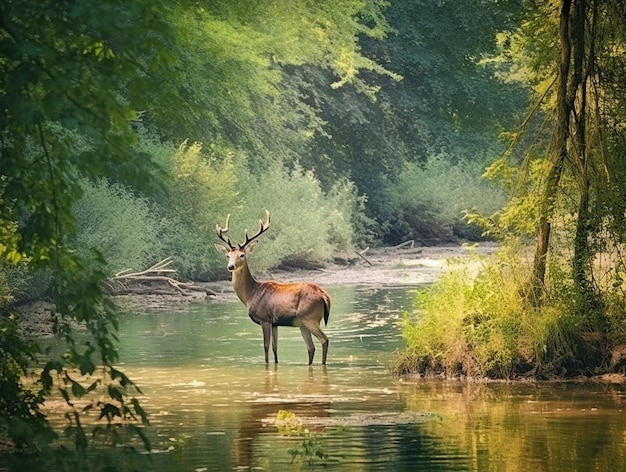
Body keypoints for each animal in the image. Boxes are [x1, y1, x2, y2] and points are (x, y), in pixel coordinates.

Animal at [213, 210, 332, 366]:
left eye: (242, 254)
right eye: (228, 255)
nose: (230, 266)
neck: (251, 294)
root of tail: (325, 296)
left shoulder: (265, 318)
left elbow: (266, 346)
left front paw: (266, 365)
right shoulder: (275, 323)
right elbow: (275, 348)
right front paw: (276, 364)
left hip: (309, 317)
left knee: (324, 340)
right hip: (302, 322)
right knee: (311, 347)